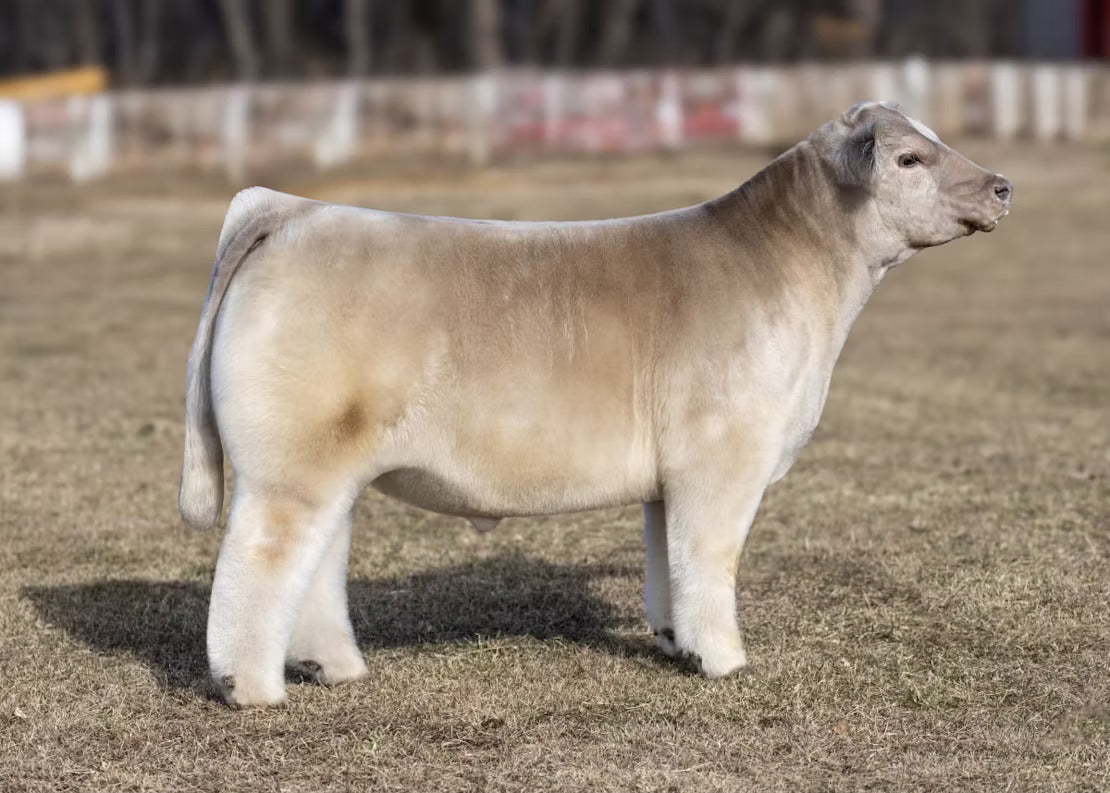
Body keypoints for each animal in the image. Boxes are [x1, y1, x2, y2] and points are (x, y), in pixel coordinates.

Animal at [179, 101, 1012, 707]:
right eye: (908, 158)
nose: (1002, 186)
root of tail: (293, 210)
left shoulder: (671, 477)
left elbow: (667, 558)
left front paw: (679, 642)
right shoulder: (722, 459)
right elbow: (708, 557)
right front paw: (726, 660)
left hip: (328, 470)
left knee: (314, 566)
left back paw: (335, 667)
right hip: (291, 469)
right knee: (258, 564)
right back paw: (253, 690)